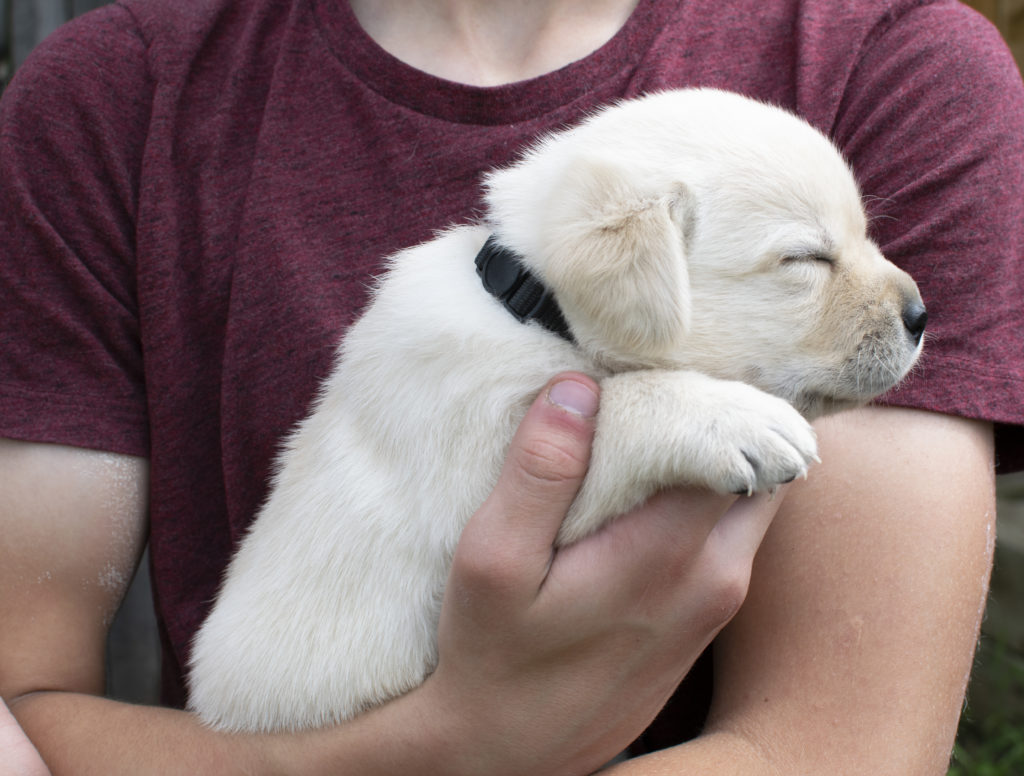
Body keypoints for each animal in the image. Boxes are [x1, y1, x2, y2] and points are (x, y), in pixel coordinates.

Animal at [186, 88, 929, 733]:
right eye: (806, 258)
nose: (922, 315)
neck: (536, 311)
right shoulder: (469, 492)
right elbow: (618, 402)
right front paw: (735, 416)